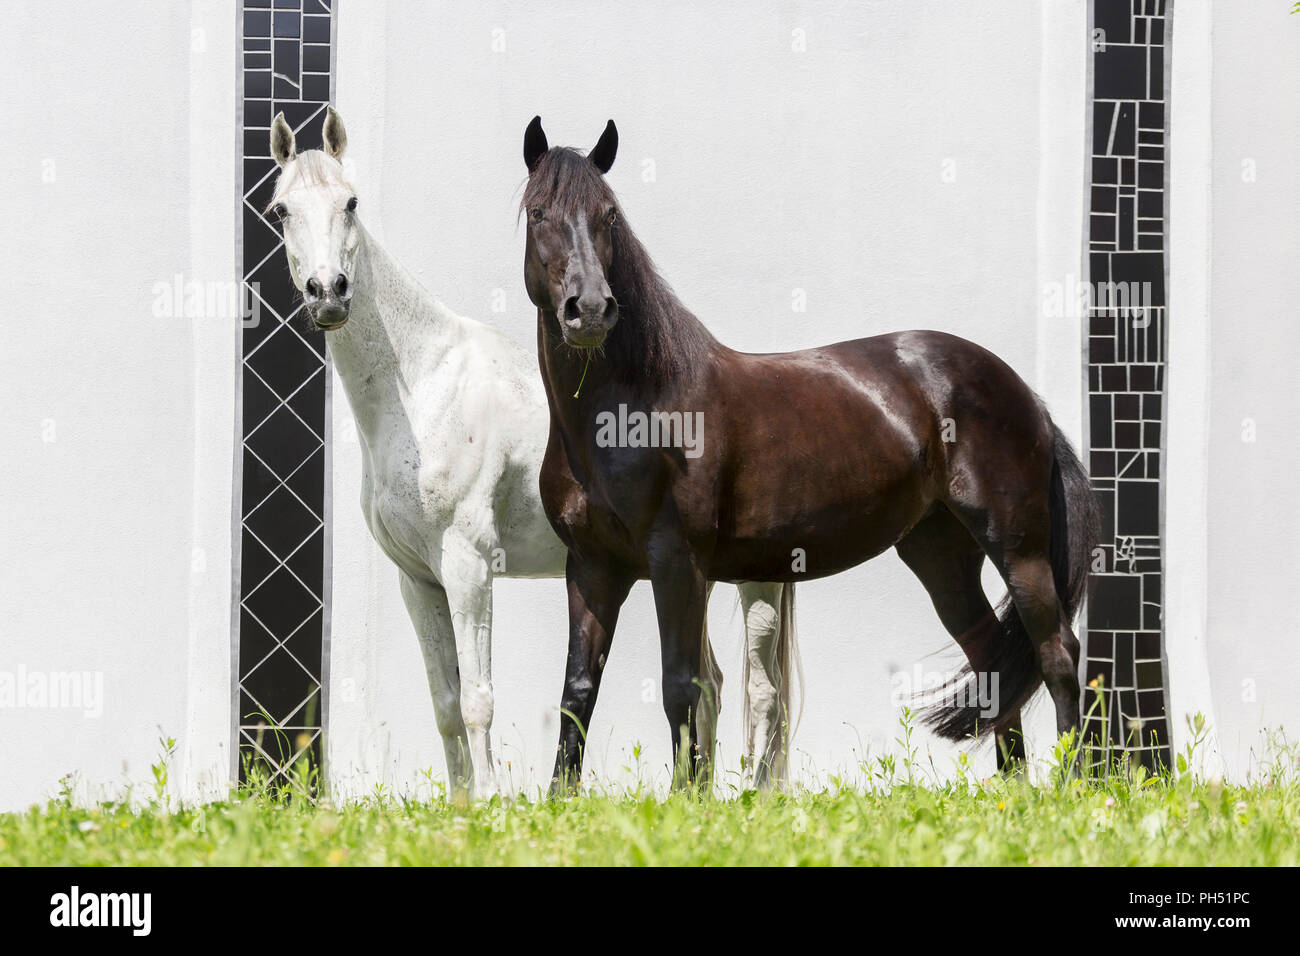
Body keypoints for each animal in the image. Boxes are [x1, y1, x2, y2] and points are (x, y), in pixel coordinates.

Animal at [267, 108, 795, 801]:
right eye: (281, 209)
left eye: (350, 202)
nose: (328, 291)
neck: (427, 384)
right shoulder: (418, 579)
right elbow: (445, 704)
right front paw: (462, 803)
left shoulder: (468, 568)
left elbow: (478, 701)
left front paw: (490, 801)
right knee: (710, 683)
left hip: (754, 577)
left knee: (763, 694)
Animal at [517, 117, 1097, 790]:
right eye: (539, 213)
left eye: (608, 215)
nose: (589, 309)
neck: (628, 412)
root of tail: (1024, 393)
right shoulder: (591, 568)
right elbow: (578, 691)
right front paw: (561, 798)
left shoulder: (676, 563)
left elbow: (682, 686)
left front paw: (687, 797)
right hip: (941, 556)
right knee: (990, 665)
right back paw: (1014, 794)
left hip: (1018, 547)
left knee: (1057, 654)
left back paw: (1074, 787)